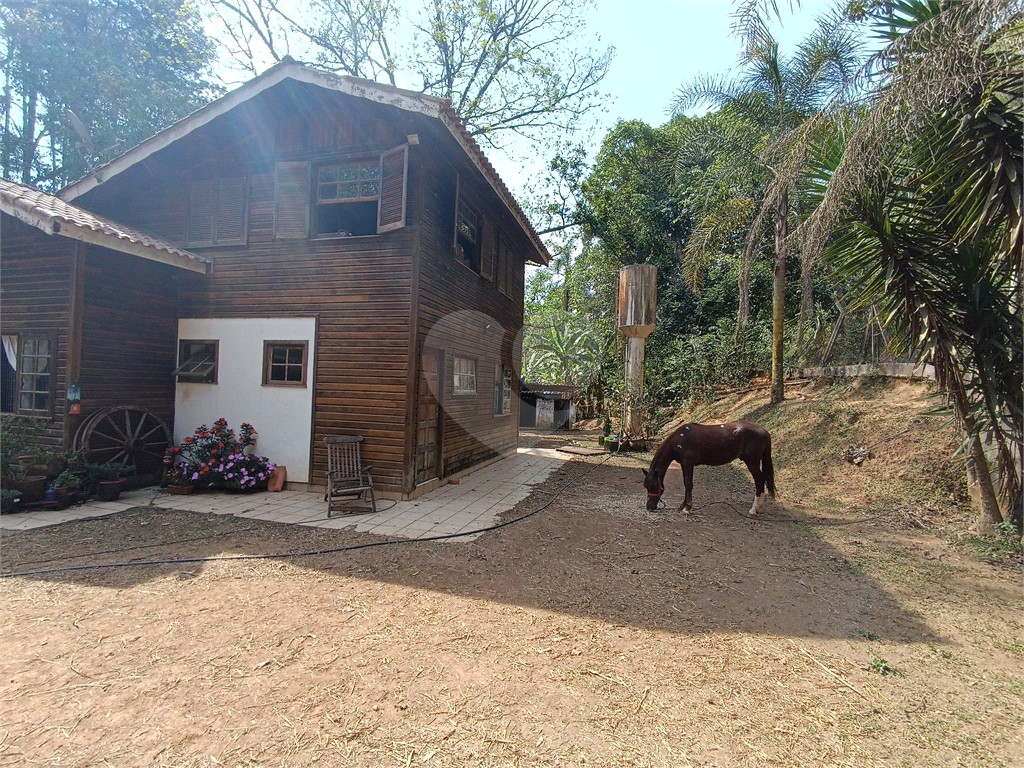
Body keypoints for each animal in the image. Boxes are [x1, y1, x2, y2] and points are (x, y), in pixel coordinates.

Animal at [642, 421, 775, 515]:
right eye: (646, 487)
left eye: (653, 486)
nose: (649, 507)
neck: (681, 438)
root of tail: (764, 431)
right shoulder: (684, 464)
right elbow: (686, 484)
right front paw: (683, 506)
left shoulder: (687, 463)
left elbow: (688, 484)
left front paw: (687, 508)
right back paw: (760, 508)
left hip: (752, 462)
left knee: (759, 480)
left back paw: (754, 509)